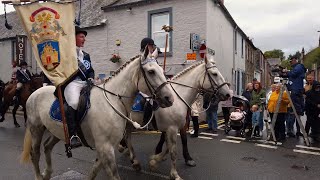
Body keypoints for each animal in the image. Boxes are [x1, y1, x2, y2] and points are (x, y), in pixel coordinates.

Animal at [19, 48, 175, 179]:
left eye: (161, 70)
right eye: (151, 72)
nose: (170, 99)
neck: (113, 101)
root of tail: (35, 93)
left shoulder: (105, 147)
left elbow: (94, 170)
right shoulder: (105, 147)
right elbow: (113, 175)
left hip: (58, 131)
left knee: (47, 147)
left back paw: (47, 173)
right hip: (36, 129)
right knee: (35, 153)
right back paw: (40, 176)